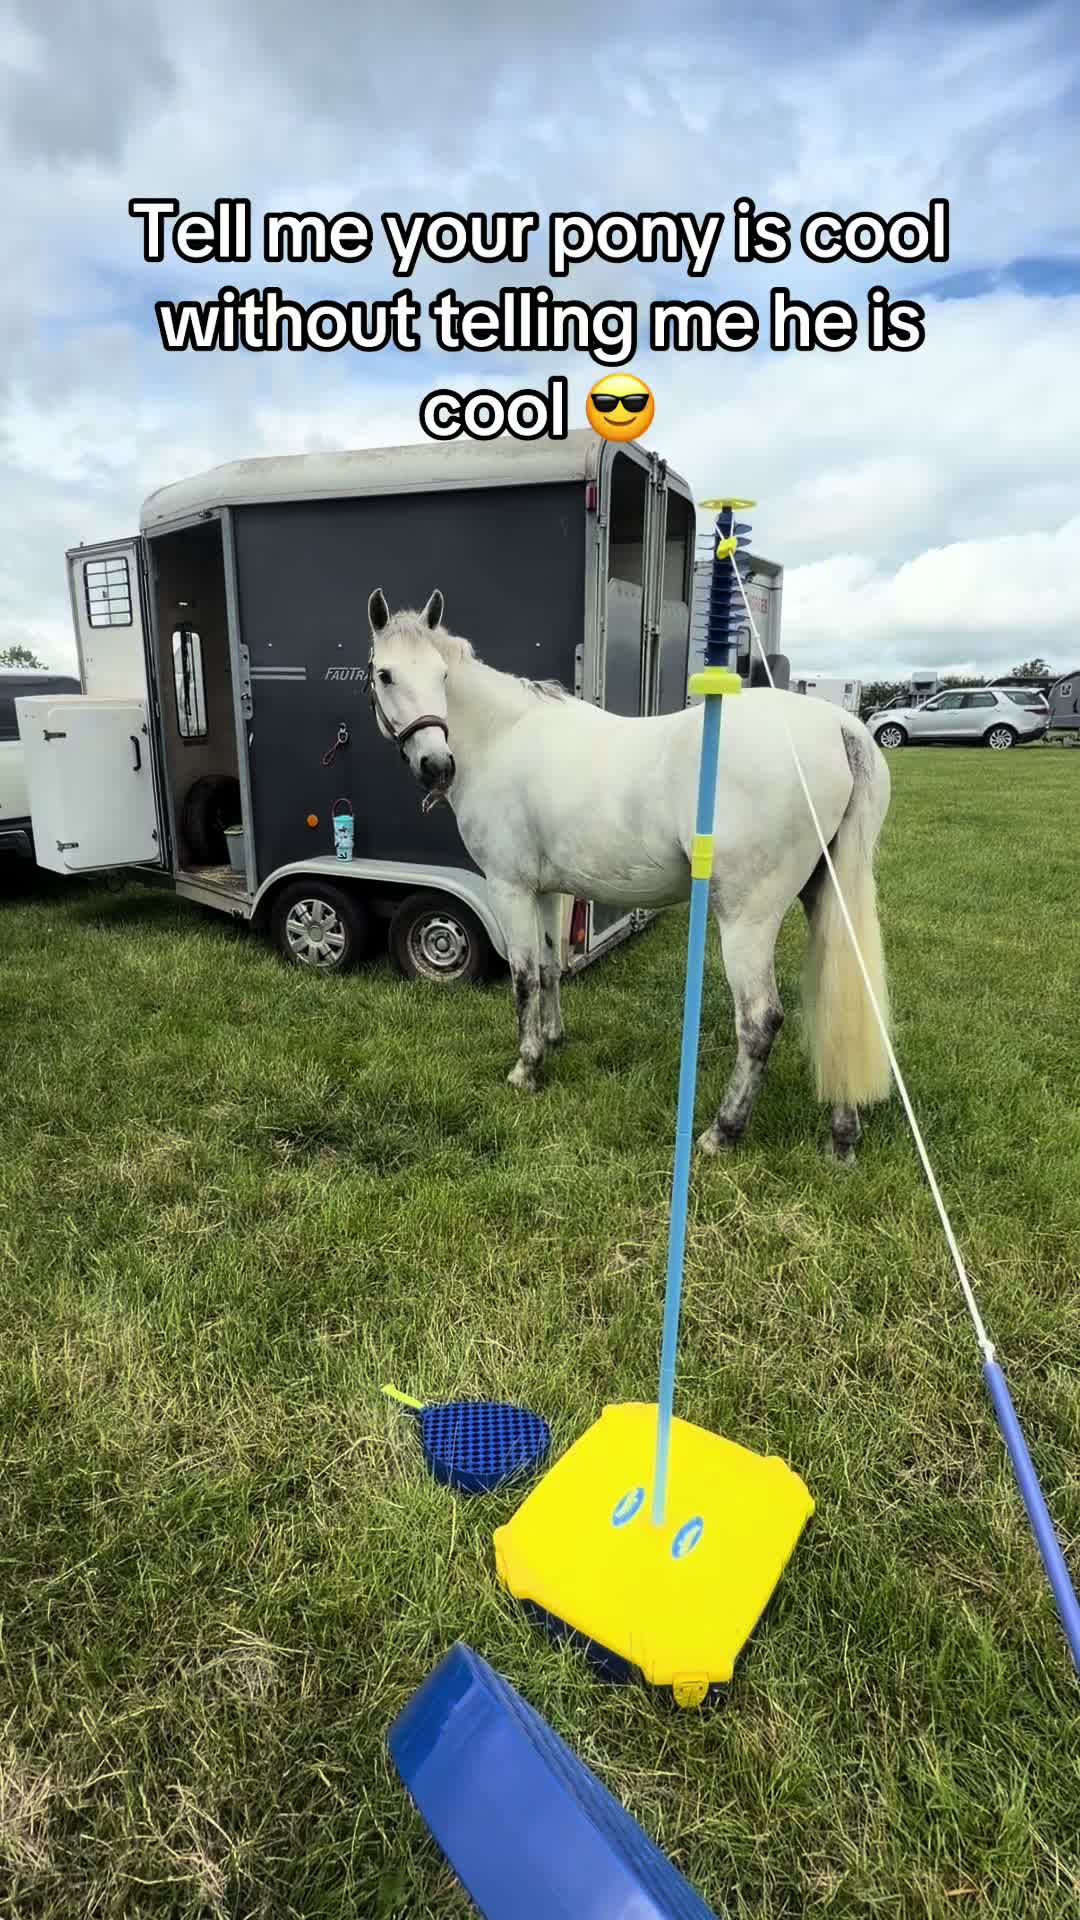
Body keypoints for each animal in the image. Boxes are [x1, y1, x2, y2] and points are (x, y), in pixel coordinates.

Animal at [365, 588, 893, 1161]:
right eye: (386, 674)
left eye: (441, 675)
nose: (437, 766)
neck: (503, 736)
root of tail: (840, 728)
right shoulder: (547, 891)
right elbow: (550, 969)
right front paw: (553, 1040)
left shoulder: (510, 888)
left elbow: (524, 977)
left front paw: (526, 1068)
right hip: (825, 900)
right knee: (841, 1008)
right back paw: (842, 1137)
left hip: (746, 918)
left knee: (759, 1021)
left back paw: (721, 1132)